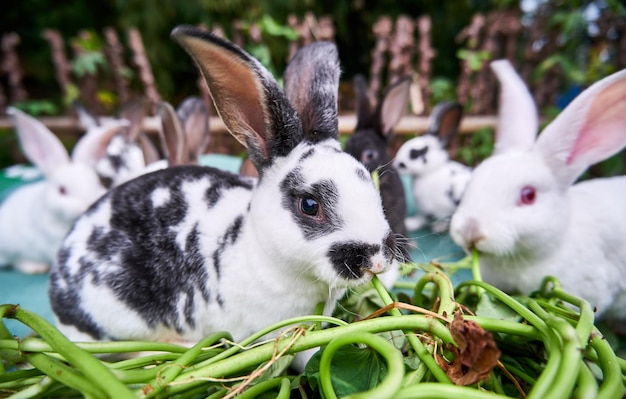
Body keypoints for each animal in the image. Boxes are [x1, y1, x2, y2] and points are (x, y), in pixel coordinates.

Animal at [392, 101, 470, 234]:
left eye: (415, 154)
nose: (397, 165)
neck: (430, 172)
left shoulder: (443, 207)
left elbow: (442, 218)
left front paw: (439, 227)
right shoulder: (424, 209)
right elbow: (421, 218)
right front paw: (410, 223)